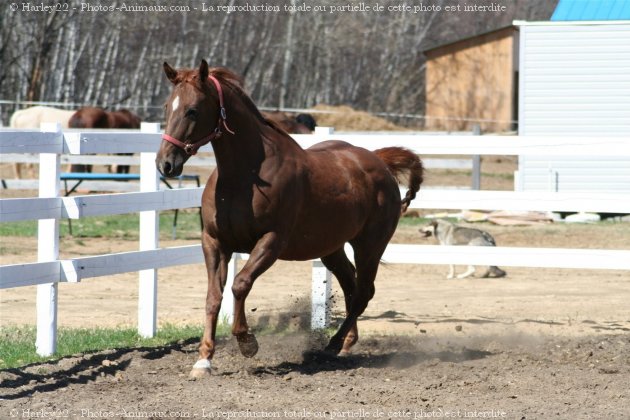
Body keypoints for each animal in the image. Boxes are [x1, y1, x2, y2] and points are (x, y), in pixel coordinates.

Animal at [157, 60, 424, 378]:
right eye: (167, 107)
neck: (244, 177)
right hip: (332, 248)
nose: (166, 163)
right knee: (351, 287)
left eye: (193, 110)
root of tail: (379, 160)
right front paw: (203, 360)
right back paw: (346, 343)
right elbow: (213, 297)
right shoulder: (214, 242)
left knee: (363, 292)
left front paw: (247, 342)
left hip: (369, 245)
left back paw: (332, 345)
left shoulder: (272, 241)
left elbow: (240, 284)